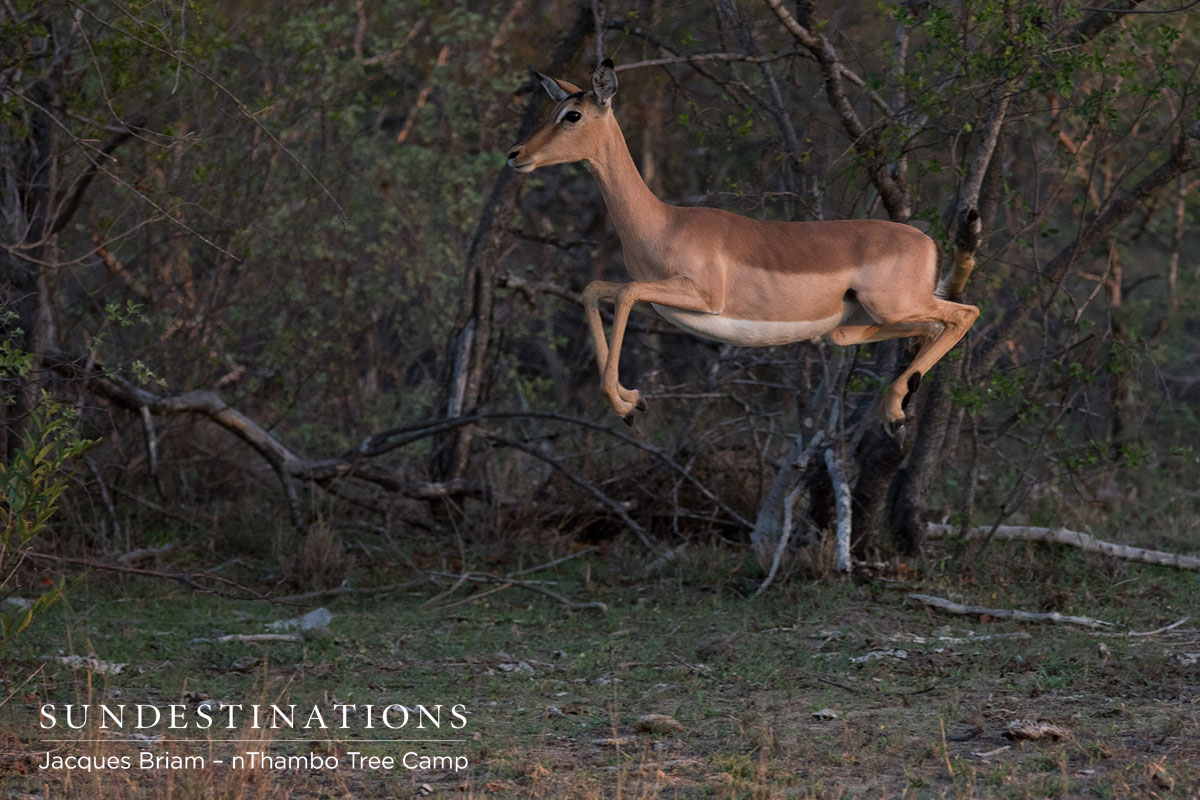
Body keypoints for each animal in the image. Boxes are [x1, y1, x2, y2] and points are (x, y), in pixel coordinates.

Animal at [507, 60, 979, 433]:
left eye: (573, 114)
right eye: (551, 109)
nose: (516, 154)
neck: (664, 223)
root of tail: (927, 241)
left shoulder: (703, 297)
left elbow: (623, 294)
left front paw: (624, 402)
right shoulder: (655, 294)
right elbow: (593, 290)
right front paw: (634, 398)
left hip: (895, 305)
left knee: (965, 313)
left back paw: (895, 409)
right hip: (857, 324)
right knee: (919, 329)